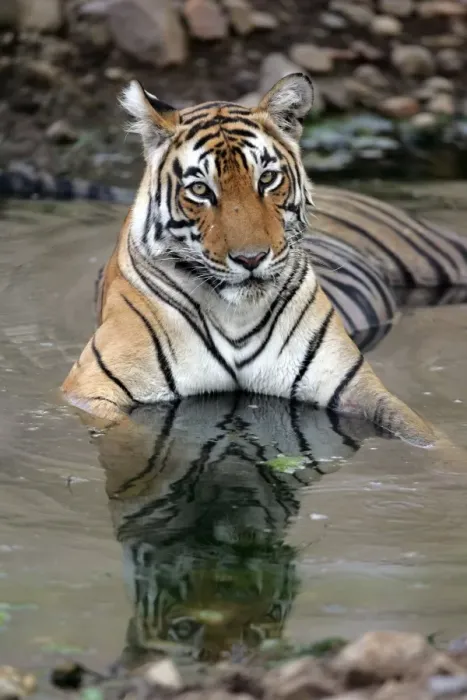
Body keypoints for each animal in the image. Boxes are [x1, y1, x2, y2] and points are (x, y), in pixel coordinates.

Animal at [17, 75, 467, 445]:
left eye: (267, 179)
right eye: (200, 189)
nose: (251, 259)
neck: (235, 316)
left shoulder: (354, 385)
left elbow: (426, 435)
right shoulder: (91, 387)